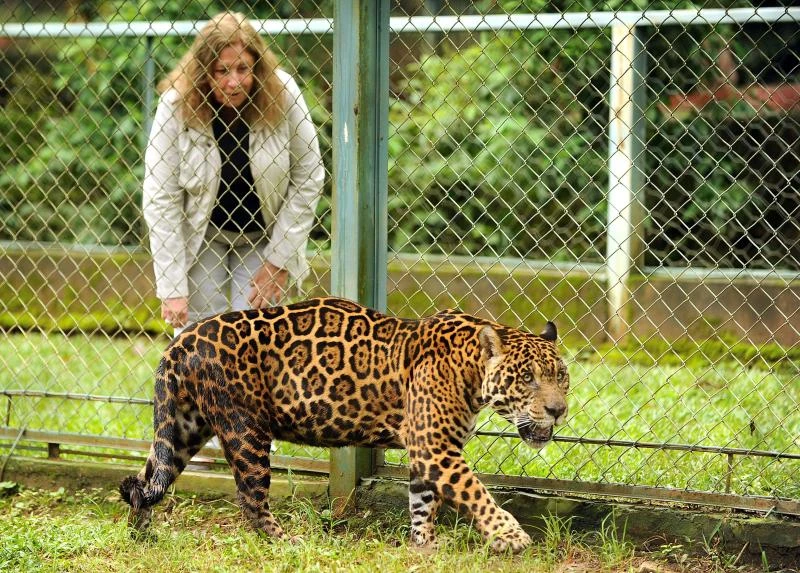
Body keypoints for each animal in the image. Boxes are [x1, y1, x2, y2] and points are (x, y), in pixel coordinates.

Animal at [120, 296, 569, 553]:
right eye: (527, 378)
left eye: (561, 376)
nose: (558, 410)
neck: (471, 370)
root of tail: (181, 341)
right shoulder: (436, 449)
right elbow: (478, 494)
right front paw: (511, 537)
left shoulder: (430, 451)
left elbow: (423, 501)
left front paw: (424, 545)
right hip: (245, 429)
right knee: (249, 498)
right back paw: (286, 542)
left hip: (183, 426)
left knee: (145, 480)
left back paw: (141, 534)